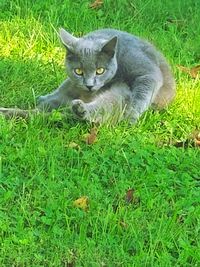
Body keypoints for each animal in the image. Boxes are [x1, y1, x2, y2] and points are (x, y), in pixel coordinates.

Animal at [37, 27, 175, 124]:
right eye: (78, 71)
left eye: (100, 70)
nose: (89, 86)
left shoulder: (147, 71)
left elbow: (144, 90)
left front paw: (131, 116)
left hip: (121, 94)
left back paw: (79, 110)